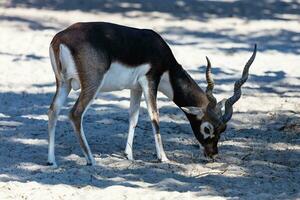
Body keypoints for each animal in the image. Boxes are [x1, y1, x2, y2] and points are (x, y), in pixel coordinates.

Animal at [47, 21, 255, 166]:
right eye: (207, 128)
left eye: (223, 129)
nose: (212, 154)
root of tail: (60, 39)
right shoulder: (150, 81)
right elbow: (155, 117)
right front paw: (163, 157)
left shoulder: (135, 88)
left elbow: (133, 118)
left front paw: (129, 155)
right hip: (91, 84)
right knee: (75, 113)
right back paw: (91, 159)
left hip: (63, 84)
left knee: (53, 111)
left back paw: (51, 160)